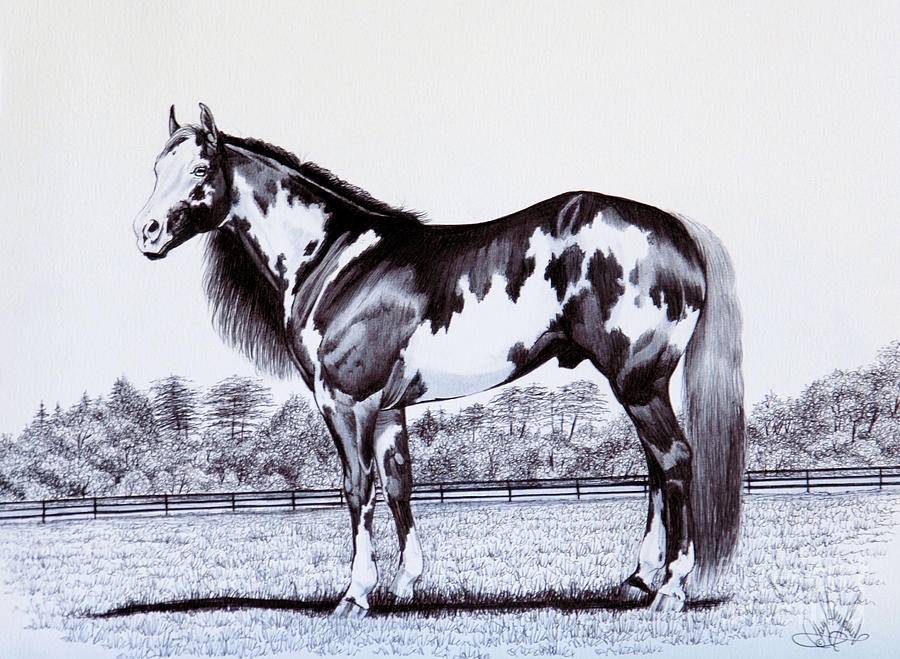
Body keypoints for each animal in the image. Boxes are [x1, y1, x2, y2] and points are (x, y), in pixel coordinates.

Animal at [134, 104, 744, 617]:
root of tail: (677, 230)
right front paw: (404, 585)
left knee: (674, 461)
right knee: (655, 471)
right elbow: (398, 483)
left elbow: (358, 488)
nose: (146, 232)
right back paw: (637, 580)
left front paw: (355, 595)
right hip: (639, 385)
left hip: (638, 382)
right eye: (157, 168)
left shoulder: (347, 401)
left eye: (200, 170)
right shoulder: (386, 408)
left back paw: (670, 589)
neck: (337, 261)